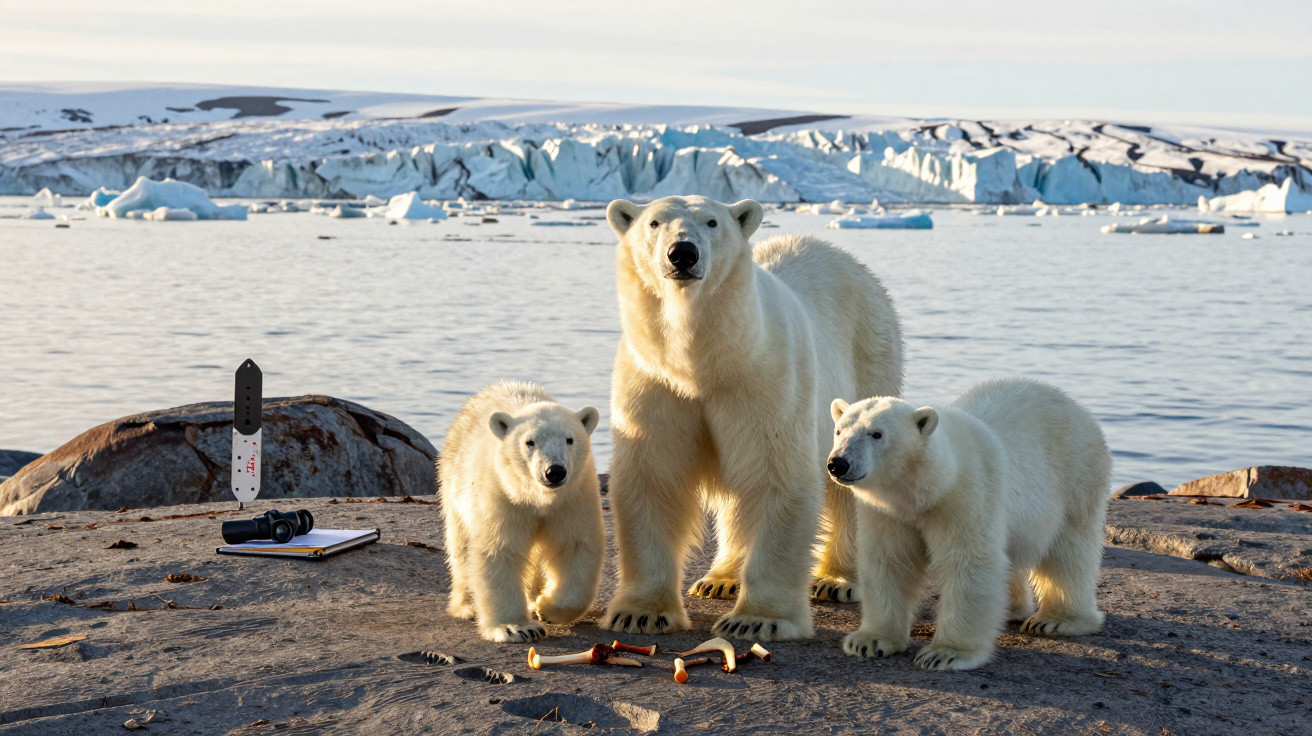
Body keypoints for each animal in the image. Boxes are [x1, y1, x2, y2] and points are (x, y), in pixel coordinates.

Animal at [439, 380, 603, 643]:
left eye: (569, 439)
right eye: (530, 442)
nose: (554, 471)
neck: (537, 498)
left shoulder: (573, 496)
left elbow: (574, 545)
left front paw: (546, 608)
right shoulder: (502, 494)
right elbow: (500, 549)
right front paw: (517, 628)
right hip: (454, 485)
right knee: (461, 547)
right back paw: (469, 605)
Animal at [601, 195, 903, 641]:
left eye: (712, 222)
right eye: (654, 222)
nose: (683, 252)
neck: (704, 362)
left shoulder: (765, 379)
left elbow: (775, 475)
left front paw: (759, 619)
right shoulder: (654, 383)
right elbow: (654, 476)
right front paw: (640, 613)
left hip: (869, 356)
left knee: (850, 479)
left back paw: (837, 579)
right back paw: (720, 578)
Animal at [827, 377, 1112, 670]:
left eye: (876, 434)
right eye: (839, 430)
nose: (838, 463)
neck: (931, 487)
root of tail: (1073, 405)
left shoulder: (966, 497)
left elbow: (968, 563)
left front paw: (945, 653)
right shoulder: (888, 512)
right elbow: (889, 560)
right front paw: (869, 641)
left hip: (1077, 475)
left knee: (1068, 552)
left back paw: (1056, 620)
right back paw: (1011, 608)